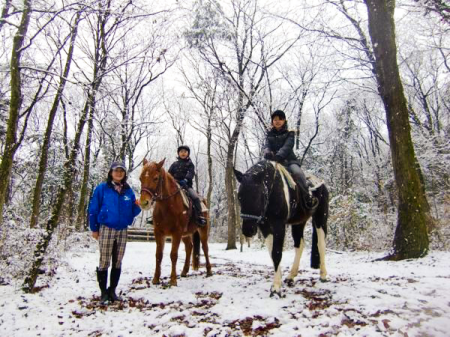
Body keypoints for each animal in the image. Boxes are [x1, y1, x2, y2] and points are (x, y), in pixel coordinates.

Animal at [236, 159, 326, 296]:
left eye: (257, 195)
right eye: (239, 197)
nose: (248, 230)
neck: (273, 189)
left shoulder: (279, 226)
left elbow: (277, 253)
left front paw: (276, 288)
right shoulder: (265, 227)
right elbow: (272, 253)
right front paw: (278, 281)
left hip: (321, 218)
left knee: (321, 243)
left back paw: (324, 275)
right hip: (298, 223)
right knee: (299, 245)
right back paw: (291, 276)